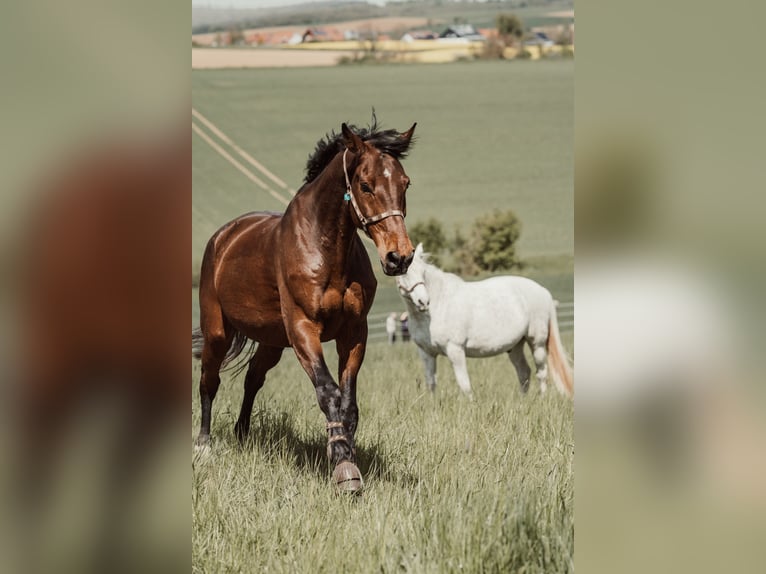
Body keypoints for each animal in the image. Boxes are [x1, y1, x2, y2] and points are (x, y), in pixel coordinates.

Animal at [192, 119, 417, 493]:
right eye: (365, 185)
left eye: (405, 182)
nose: (399, 257)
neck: (326, 251)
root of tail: (223, 237)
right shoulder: (303, 329)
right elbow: (328, 392)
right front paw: (343, 466)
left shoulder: (354, 332)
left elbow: (348, 401)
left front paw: (348, 454)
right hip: (217, 331)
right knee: (209, 380)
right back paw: (203, 446)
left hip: (272, 341)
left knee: (253, 378)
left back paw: (242, 435)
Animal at [396, 244, 573, 398]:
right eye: (404, 273)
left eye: (423, 272)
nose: (423, 302)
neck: (437, 307)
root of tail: (544, 292)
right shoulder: (426, 353)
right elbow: (431, 383)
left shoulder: (455, 350)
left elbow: (464, 384)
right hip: (515, 346)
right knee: (524, 372)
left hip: (537, 343)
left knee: (541, 372)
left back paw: (542, 398)